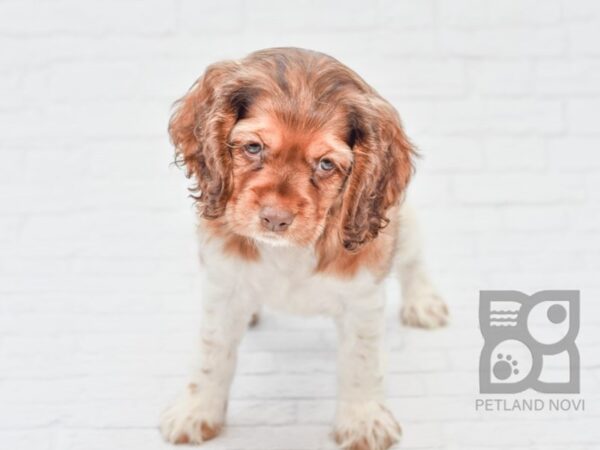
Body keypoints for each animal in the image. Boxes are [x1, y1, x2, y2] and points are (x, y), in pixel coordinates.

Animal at [158, 48, 446, 450]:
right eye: (253, 147)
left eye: (326, 164)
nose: (275, 219)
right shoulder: (223, 282)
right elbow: (212, 354)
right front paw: (197, 411)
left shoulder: (363, 297)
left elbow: (360, 362)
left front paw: (362, 420)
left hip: (403, 230)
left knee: (413, 261)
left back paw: (423, 302)